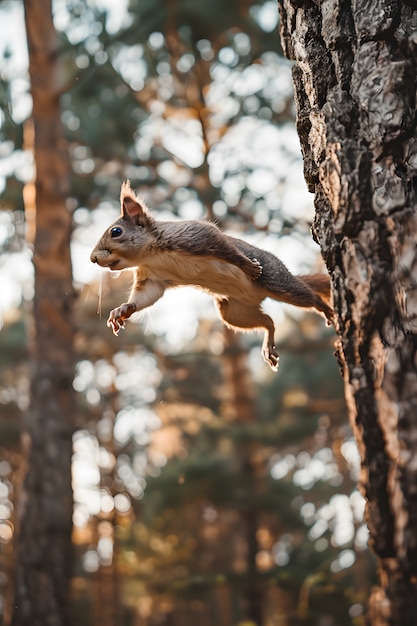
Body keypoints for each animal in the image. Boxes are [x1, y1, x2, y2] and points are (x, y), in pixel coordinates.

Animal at [90, 179, 332, 370]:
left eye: (116, 232)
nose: (92, 258)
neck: (151, 256)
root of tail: (258, 296)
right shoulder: (152, 278)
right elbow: (145, 296)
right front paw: (122, 310)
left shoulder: (197, 236)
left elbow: (226, 249)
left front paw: (248, 266)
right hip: (233, 312)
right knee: (268, 322)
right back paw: (269, 344)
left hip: (277, 281)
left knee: (307, 296)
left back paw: (326, 309)